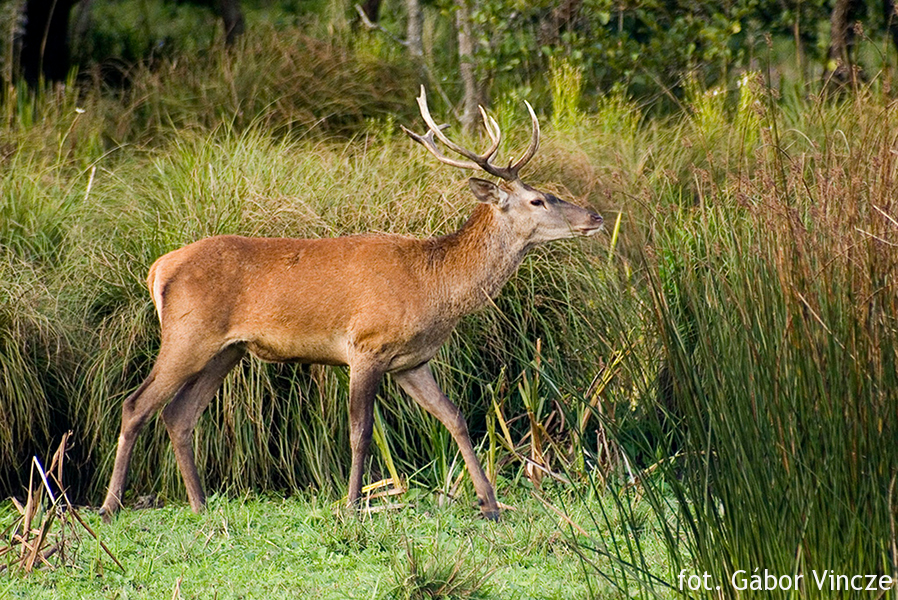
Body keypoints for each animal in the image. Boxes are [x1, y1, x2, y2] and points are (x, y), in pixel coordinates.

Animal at [99, 87, 603, 522]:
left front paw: (491, 504)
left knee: (178, 414)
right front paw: (353, 505)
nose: (596, 216)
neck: (434, 286)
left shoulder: (411, 361)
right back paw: (110, 506)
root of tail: (158, 268)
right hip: (188, 334)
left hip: (228, 350)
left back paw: (200, 503)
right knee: (136, 405)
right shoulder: (366, 346)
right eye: (537, 200)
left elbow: (456, 418)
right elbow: (360, 432)